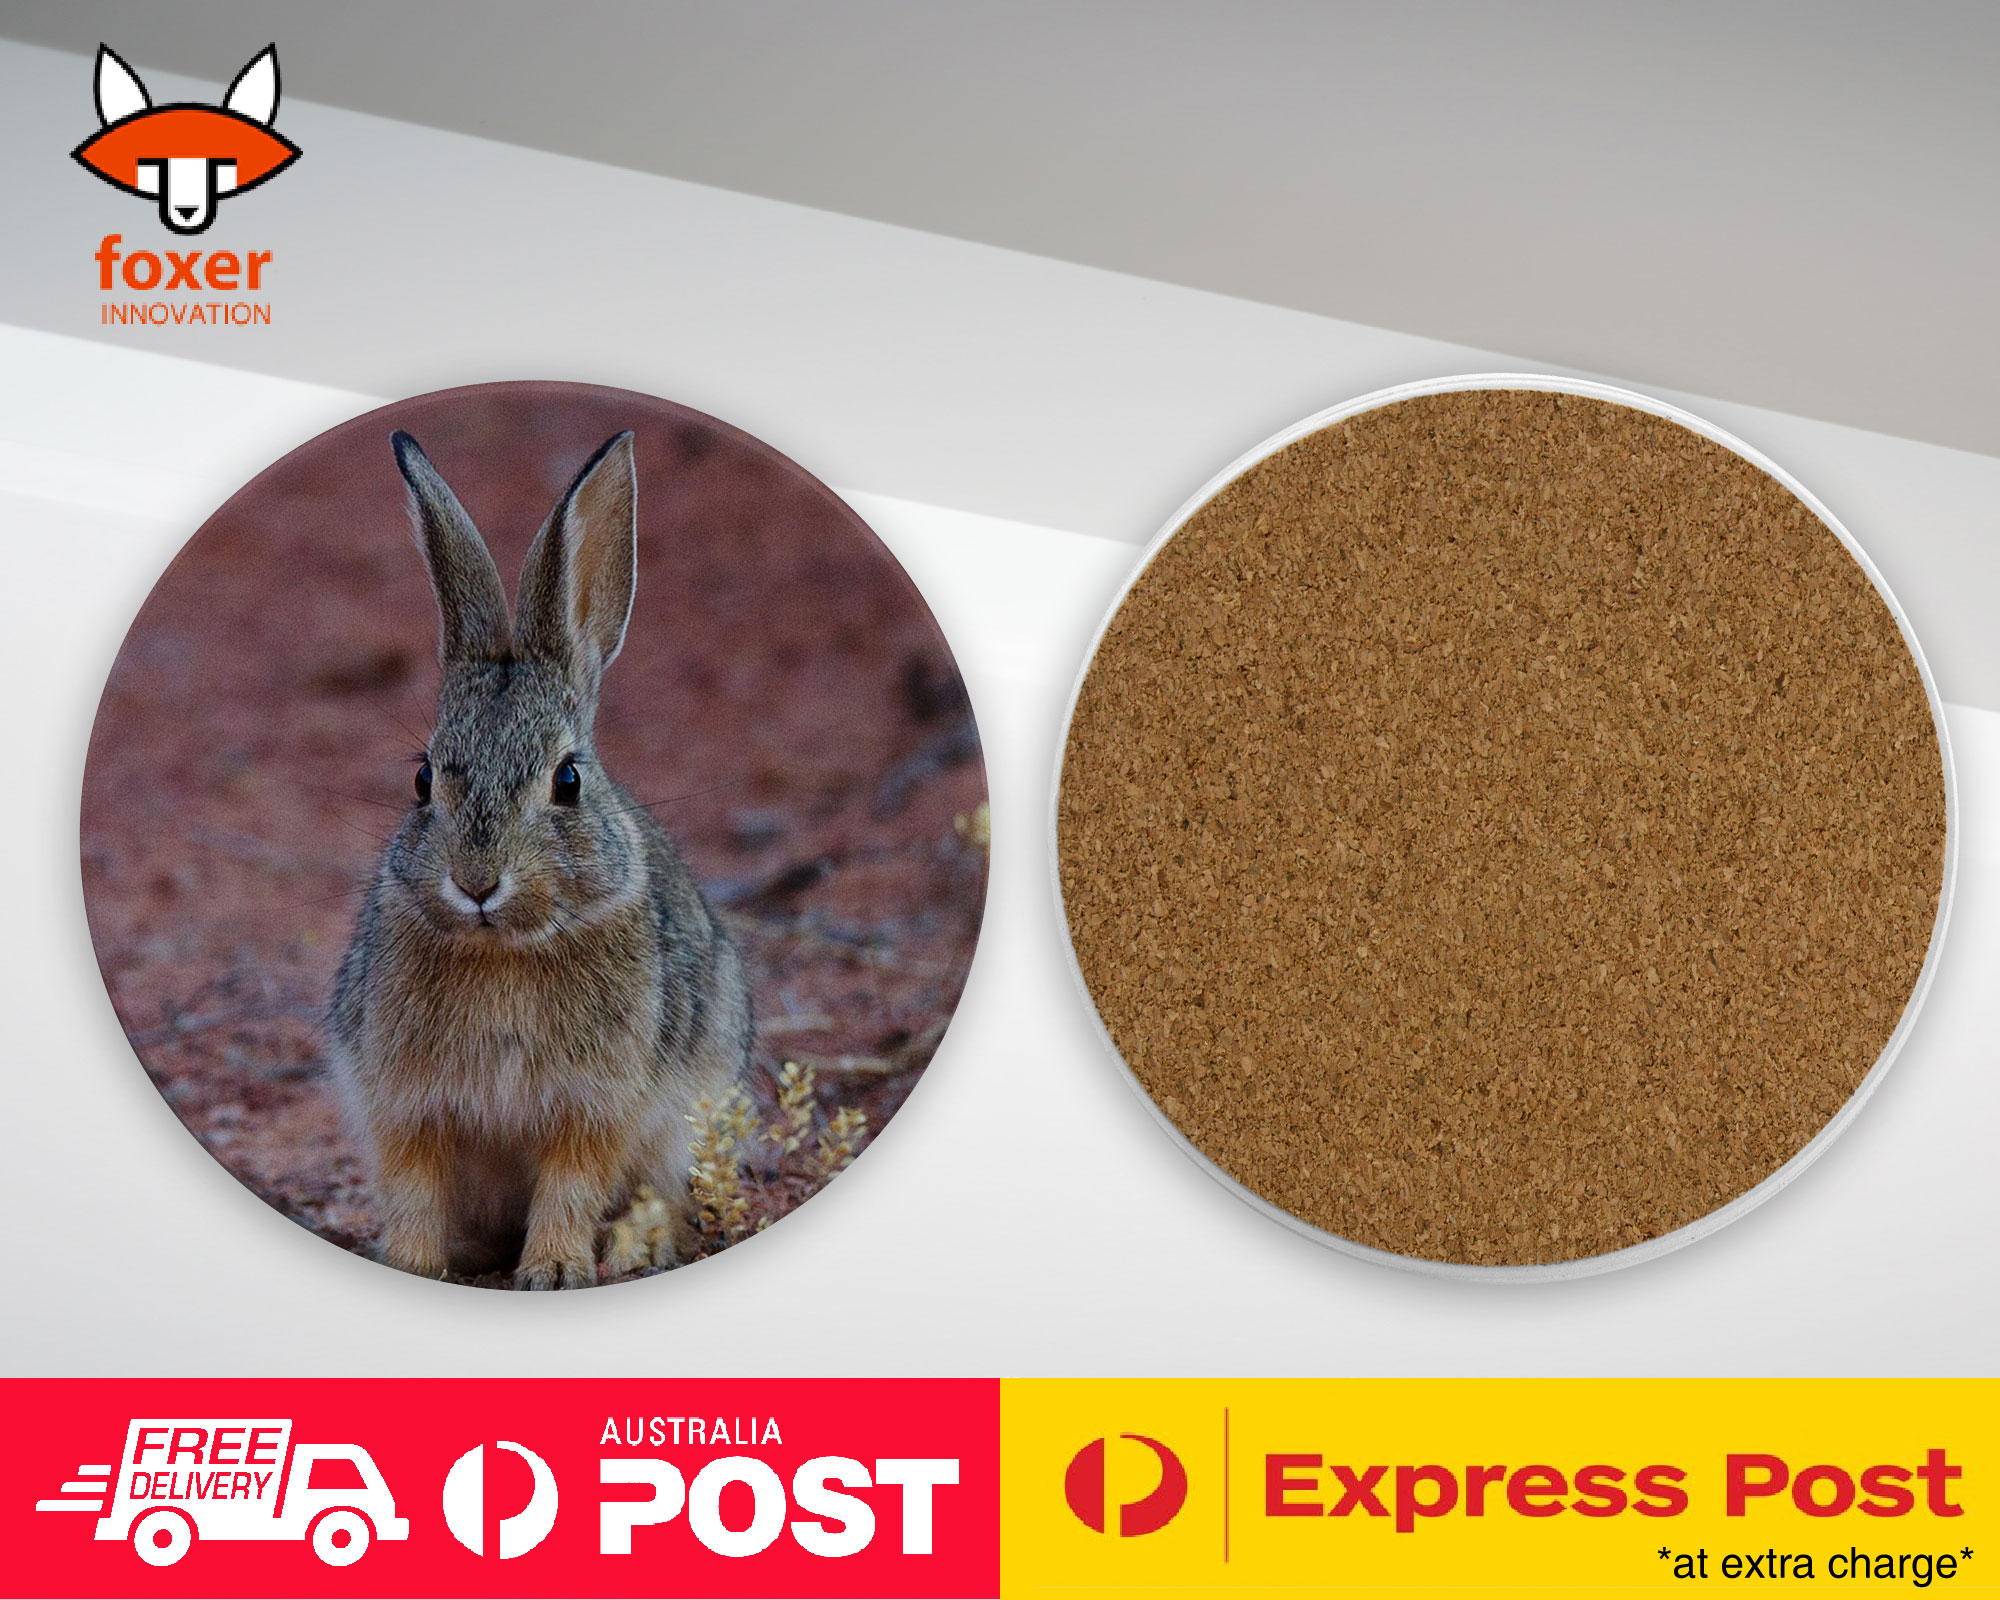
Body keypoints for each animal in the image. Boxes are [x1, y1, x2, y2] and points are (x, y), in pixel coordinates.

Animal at [327, 429, 752, 1289]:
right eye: (423, 779)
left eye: (568, 781)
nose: (476, 883)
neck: (505, 950)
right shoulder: (406, 1103)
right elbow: (415, 1186)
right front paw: (413, 1266)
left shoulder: (595, 1105)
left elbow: (571, 1184)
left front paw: (553, 1271)